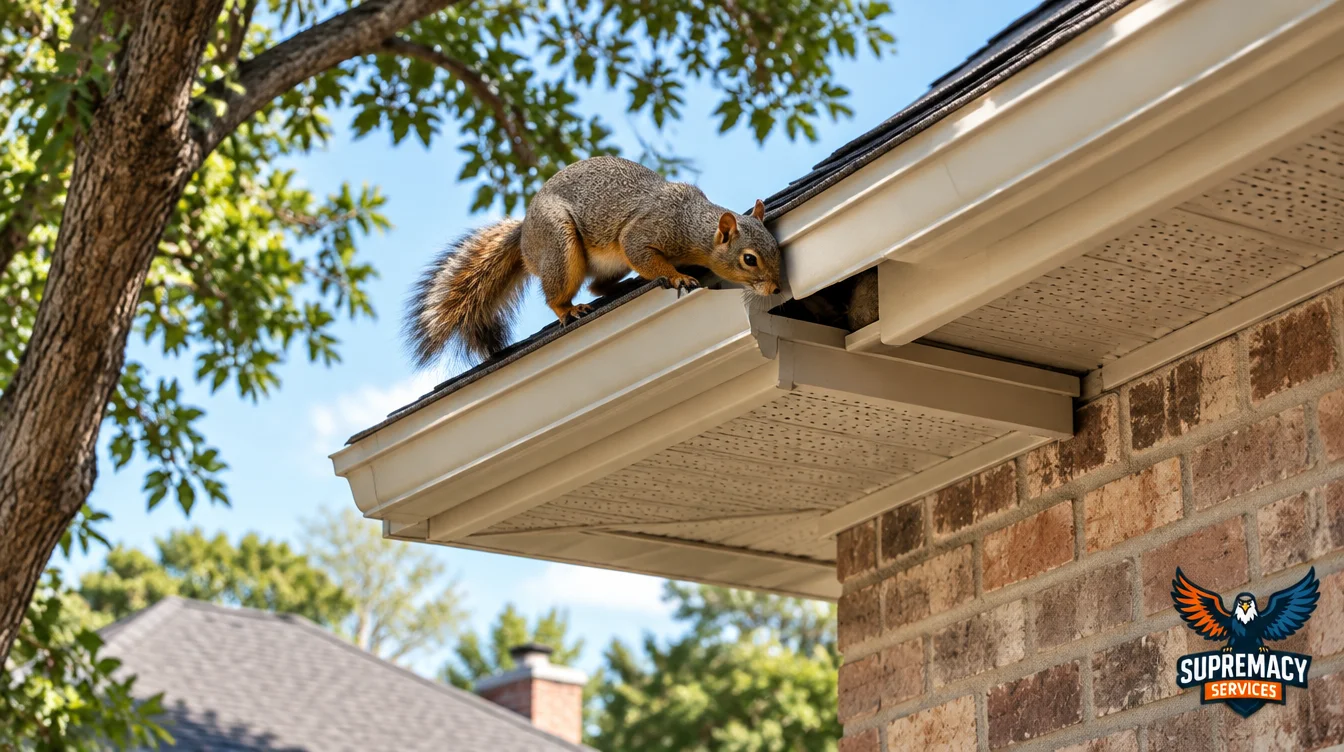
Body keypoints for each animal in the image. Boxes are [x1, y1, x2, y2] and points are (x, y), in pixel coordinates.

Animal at [405, 156, 784, 366]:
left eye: (776, 249)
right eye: (749, 259)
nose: (777, 288)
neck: (693, 229)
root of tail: (526, 237)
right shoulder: (643, 233)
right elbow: (641, 251)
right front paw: (677, 276)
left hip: (608, 262)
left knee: (597, 284)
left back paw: (624, 284)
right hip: (560, 246)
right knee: (557, 293)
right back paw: (569, 310)